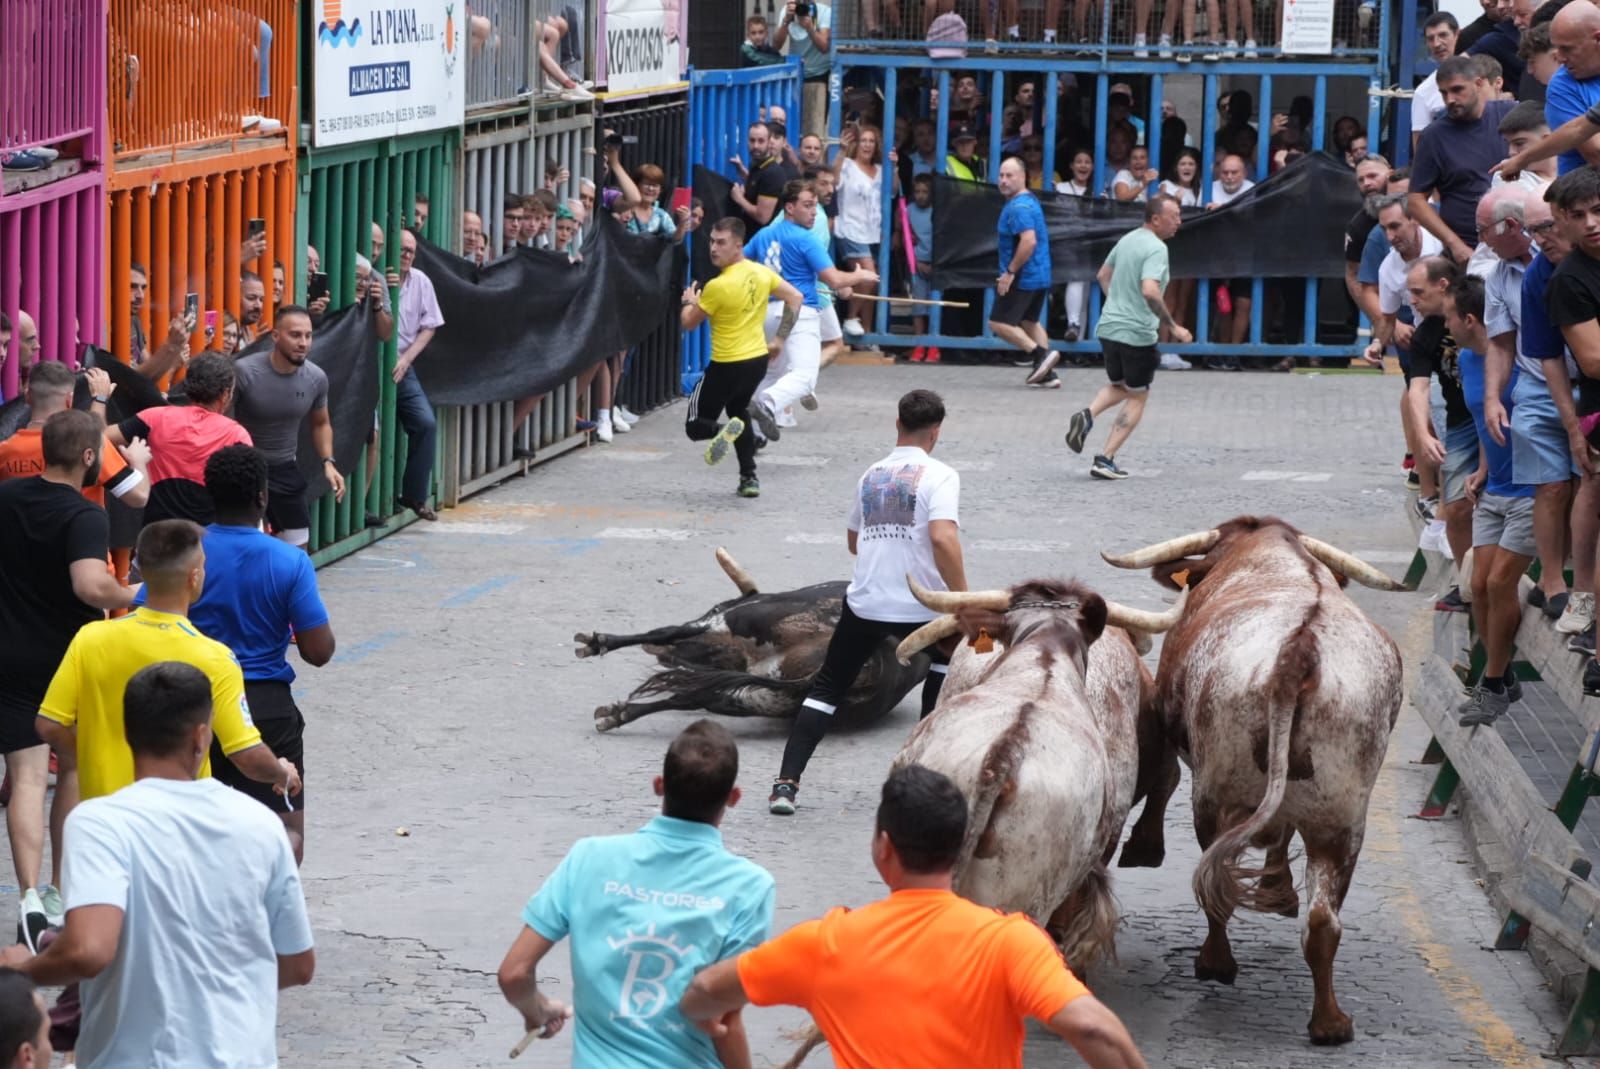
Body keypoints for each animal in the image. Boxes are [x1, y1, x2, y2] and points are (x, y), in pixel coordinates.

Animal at [1100, 515, 1401, 1043]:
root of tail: (1300, 652)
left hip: (1215, 794)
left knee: (1215, 878)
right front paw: (1276, 889)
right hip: (1343, 815)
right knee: (1323, 919)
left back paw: (1215, 963)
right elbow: (1279, 831)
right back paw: (1330, 1023)